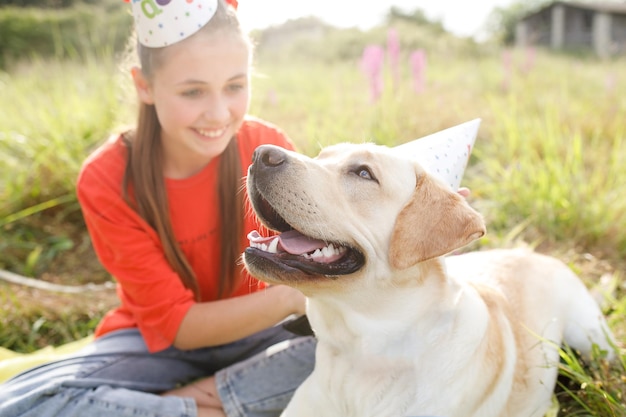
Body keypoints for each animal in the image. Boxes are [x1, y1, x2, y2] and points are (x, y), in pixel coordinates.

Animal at [241, 142, 612, 416]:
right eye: (321, 157)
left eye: (363, 173)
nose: (260, 154)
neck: (361, 357)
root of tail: (535, 253)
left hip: (590, 339)